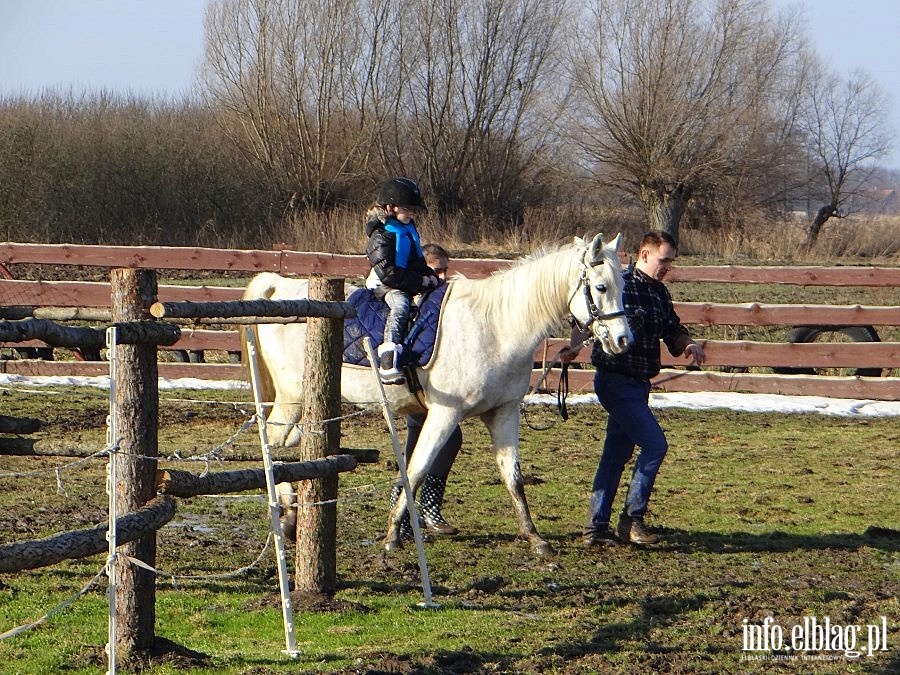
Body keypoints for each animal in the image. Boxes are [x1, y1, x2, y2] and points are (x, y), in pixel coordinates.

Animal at [243, 232, 628, 556]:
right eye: (601, 286)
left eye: (623, 285)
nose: (623, 340)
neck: (496, 327)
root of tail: (279, 286)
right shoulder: (444, 414)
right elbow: (416, 469)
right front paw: (393, 535)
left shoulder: (503, 412)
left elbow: (513, 477)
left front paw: (535, 539)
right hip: (291, 397)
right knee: (273, 444)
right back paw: (287, 516)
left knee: (289, 444)